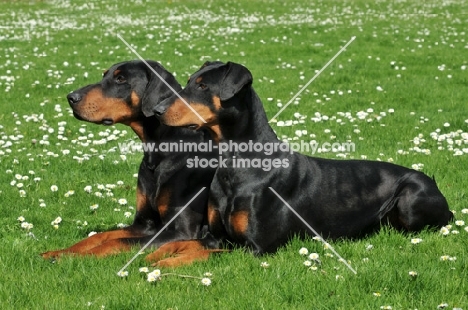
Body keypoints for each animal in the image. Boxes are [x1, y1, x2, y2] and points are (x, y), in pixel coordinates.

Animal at [41, 60, 214, 260]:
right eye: (104, 75)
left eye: (121, 79)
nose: (71, 97)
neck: (158, 154)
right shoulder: (144, 224)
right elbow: (101, 235)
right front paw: (60, 252)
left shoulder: (182, 232)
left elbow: (116, 241)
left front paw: (75, 257)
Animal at [146, 61, 454, 266]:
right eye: (188, 81)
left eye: (202, 86)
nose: (157, 111)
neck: (236, 164)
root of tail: (433, 182)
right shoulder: (215, 235)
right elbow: (183, 243)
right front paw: (153, 255)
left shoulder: (255, 247)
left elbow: (205, 253)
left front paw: (164, 265)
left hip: (411, 198)